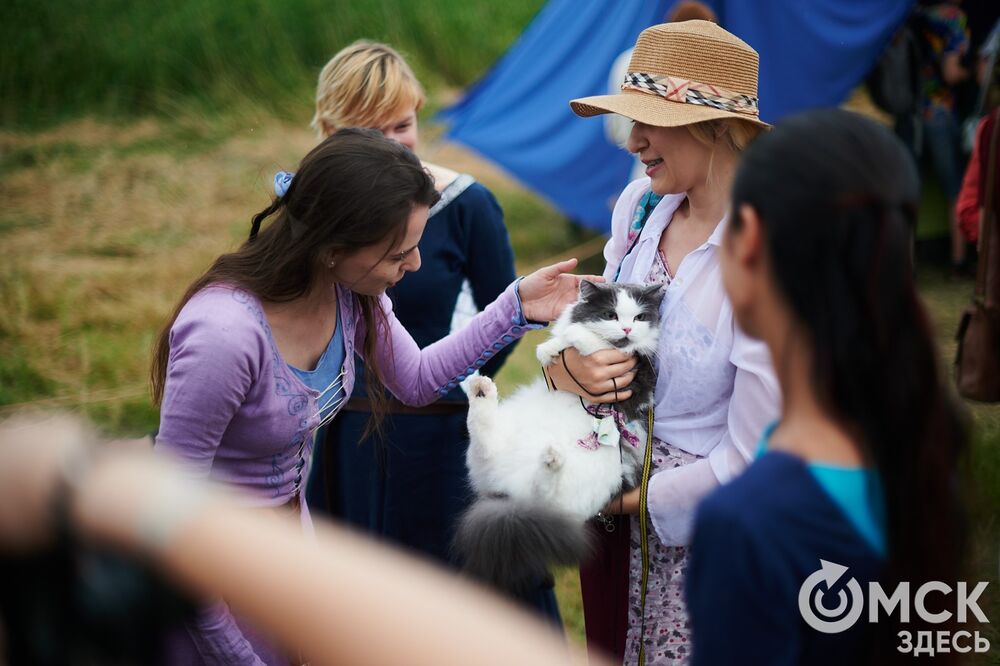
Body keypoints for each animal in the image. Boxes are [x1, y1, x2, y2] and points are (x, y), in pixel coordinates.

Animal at [456, 278, 664, 592]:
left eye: (639, 318)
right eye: (610, 315)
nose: (627, 330)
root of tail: (510, 497)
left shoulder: (637, 370)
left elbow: (593, 341)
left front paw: (574, 338)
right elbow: (570, 337)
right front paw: (549, 350)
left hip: (585, 485)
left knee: (544, 493)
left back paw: (551, 458)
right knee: (485, 440)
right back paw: (482, 390)